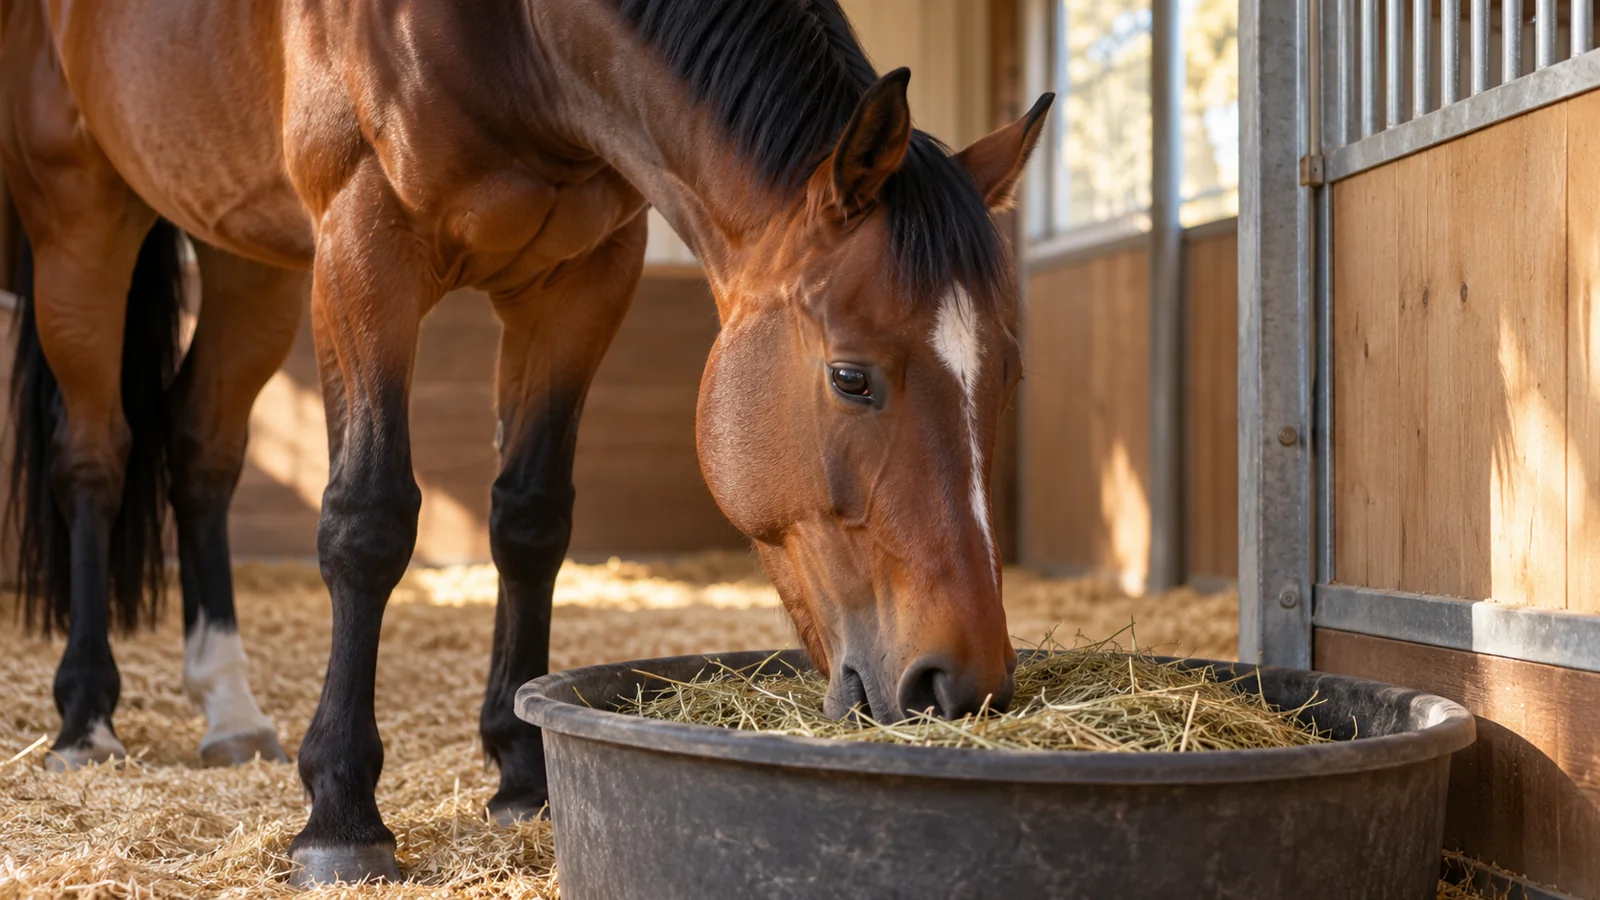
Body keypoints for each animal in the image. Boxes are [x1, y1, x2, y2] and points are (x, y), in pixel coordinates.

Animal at [0, 0, 1052, 884]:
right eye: (850, 377)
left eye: (1010, 377)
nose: (962, 683)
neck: (520, 36)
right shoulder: (365, 246)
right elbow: (367, 522)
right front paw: (342, 815)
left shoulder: (580, 280)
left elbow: (531, 520)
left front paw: (523, 777)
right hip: (83, 226)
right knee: (95, 457)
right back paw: (86, 718)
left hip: (246, 253)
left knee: (202, 449)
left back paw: (228, 705)